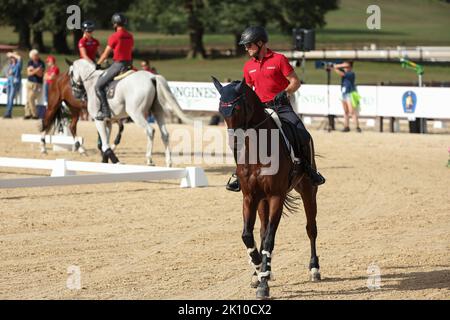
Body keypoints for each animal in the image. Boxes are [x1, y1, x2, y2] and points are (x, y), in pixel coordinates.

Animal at [213, 77, 322, 300]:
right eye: (221, 109)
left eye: (236, 108)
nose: (234, 142)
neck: (258, 149)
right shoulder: (249, 197)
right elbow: (248, 236)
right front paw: (258, 269)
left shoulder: (275, 197)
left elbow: (270, 240)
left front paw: (263, 283)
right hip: (262, 201)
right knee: (262, 232)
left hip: (307, 189)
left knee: (311, 228)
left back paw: (314, 269)